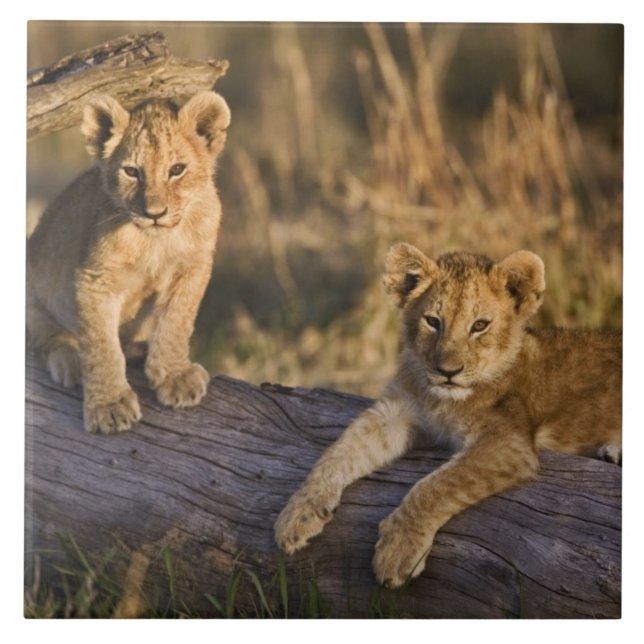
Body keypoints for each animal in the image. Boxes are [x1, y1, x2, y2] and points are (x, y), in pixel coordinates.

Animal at [27, 91, 231, 435]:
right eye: (132, 172)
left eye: (177, 169)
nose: (154, 213)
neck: (157, 241)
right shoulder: (94, 279)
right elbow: (101, 345)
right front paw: (109, 407)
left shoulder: (194, 266)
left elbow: (176, 320)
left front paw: (175, 376)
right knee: (46, 336)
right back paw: (71, 363)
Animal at [275, 243, 622, 587]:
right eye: (432, 321)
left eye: (480, 325)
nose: (448, 372)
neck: (442, 400)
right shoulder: (395, 412)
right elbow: (339, 451)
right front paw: (297, 513)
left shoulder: (508, 444)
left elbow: (436, 486)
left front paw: (398, 551)